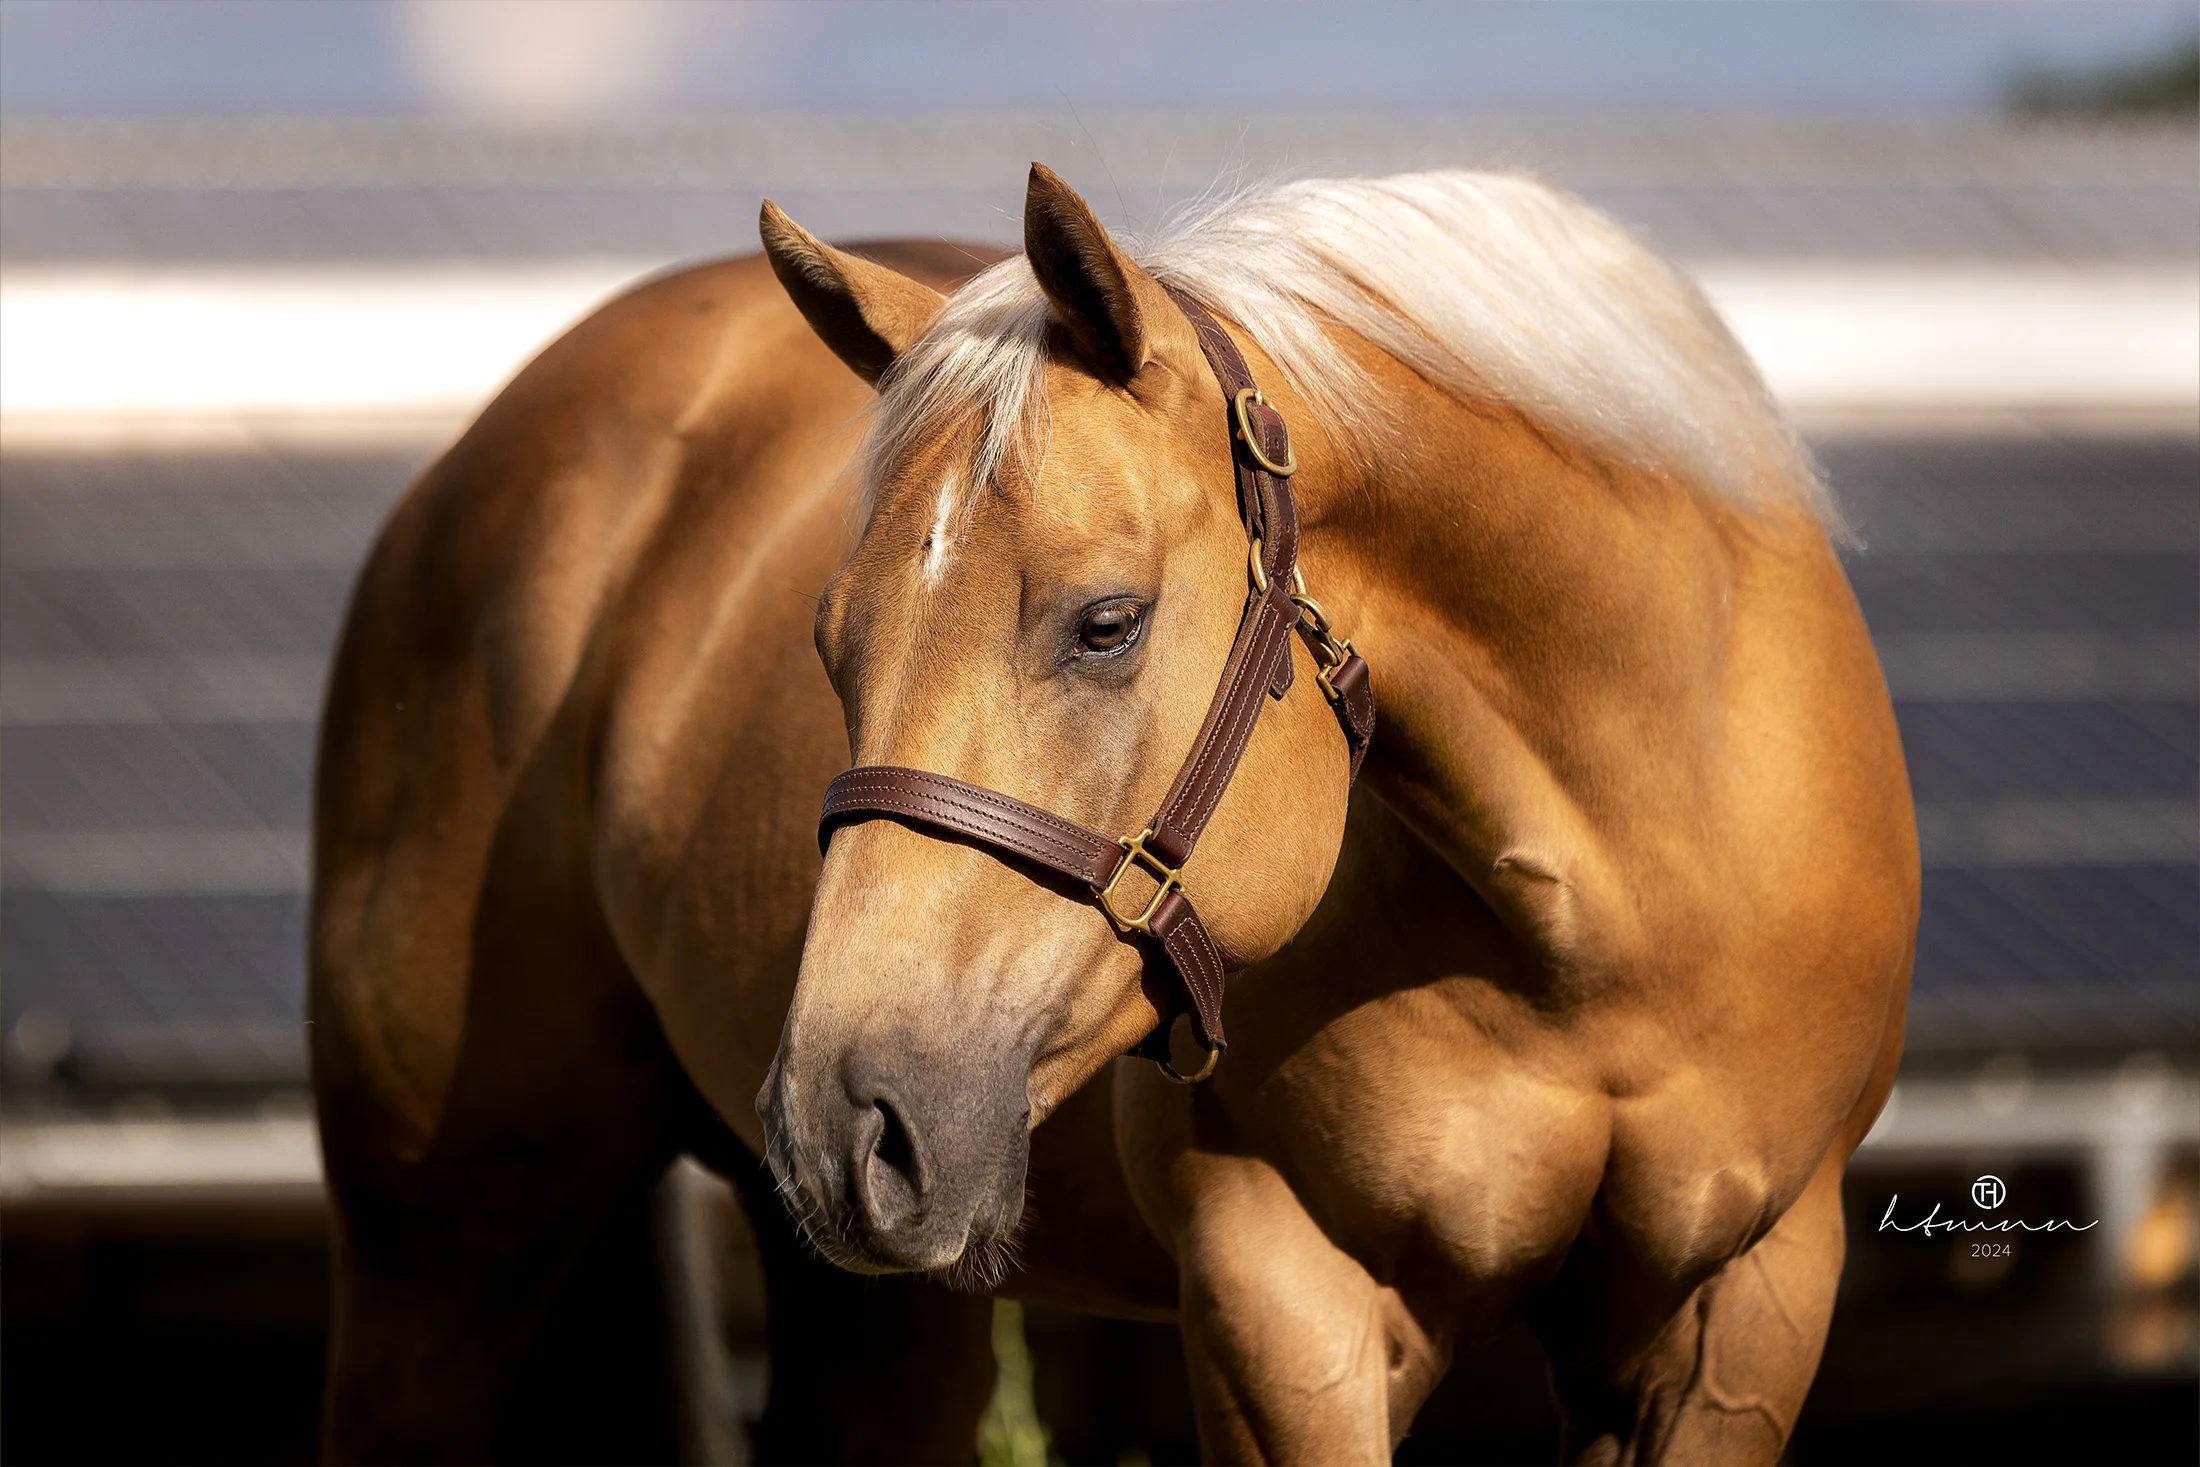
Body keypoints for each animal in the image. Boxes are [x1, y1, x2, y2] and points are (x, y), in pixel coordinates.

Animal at [319, 163, 1918, 1467]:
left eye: (1105, 623)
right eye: (830, 645)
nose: (842, 1121)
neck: (1610, 919)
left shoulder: (1741, 1308)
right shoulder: (1283, 1298)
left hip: (878, 1309)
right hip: (439, 1241)